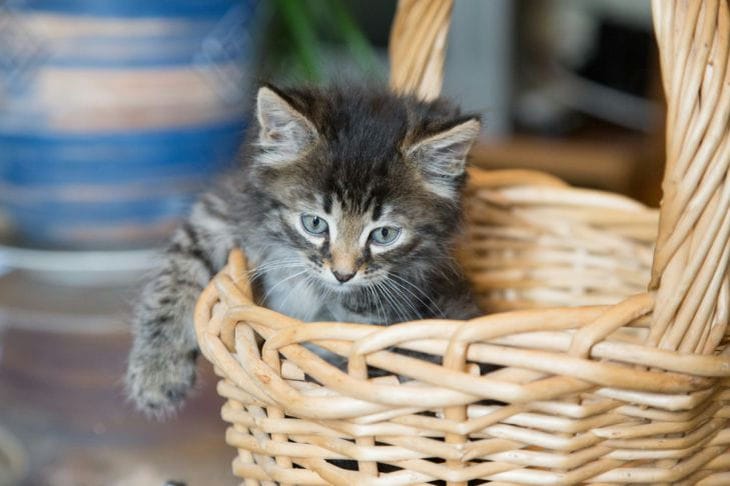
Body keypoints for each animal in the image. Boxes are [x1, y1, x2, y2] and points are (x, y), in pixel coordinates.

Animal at [126, 83, 484, 418]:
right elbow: (176, 274)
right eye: (314, 223)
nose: (343, 274)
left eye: (384, 234)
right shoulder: (224, 211)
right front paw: (156, 374)